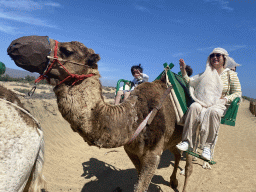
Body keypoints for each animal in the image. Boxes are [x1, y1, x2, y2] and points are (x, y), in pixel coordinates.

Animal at [7, 36, 193, 192]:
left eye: (67, 50)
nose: (14, 45)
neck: (134, 117)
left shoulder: (153, 154)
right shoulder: (132, 151)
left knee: (189, 166)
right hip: (173, 138)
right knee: (177, 153)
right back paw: (173, 181)